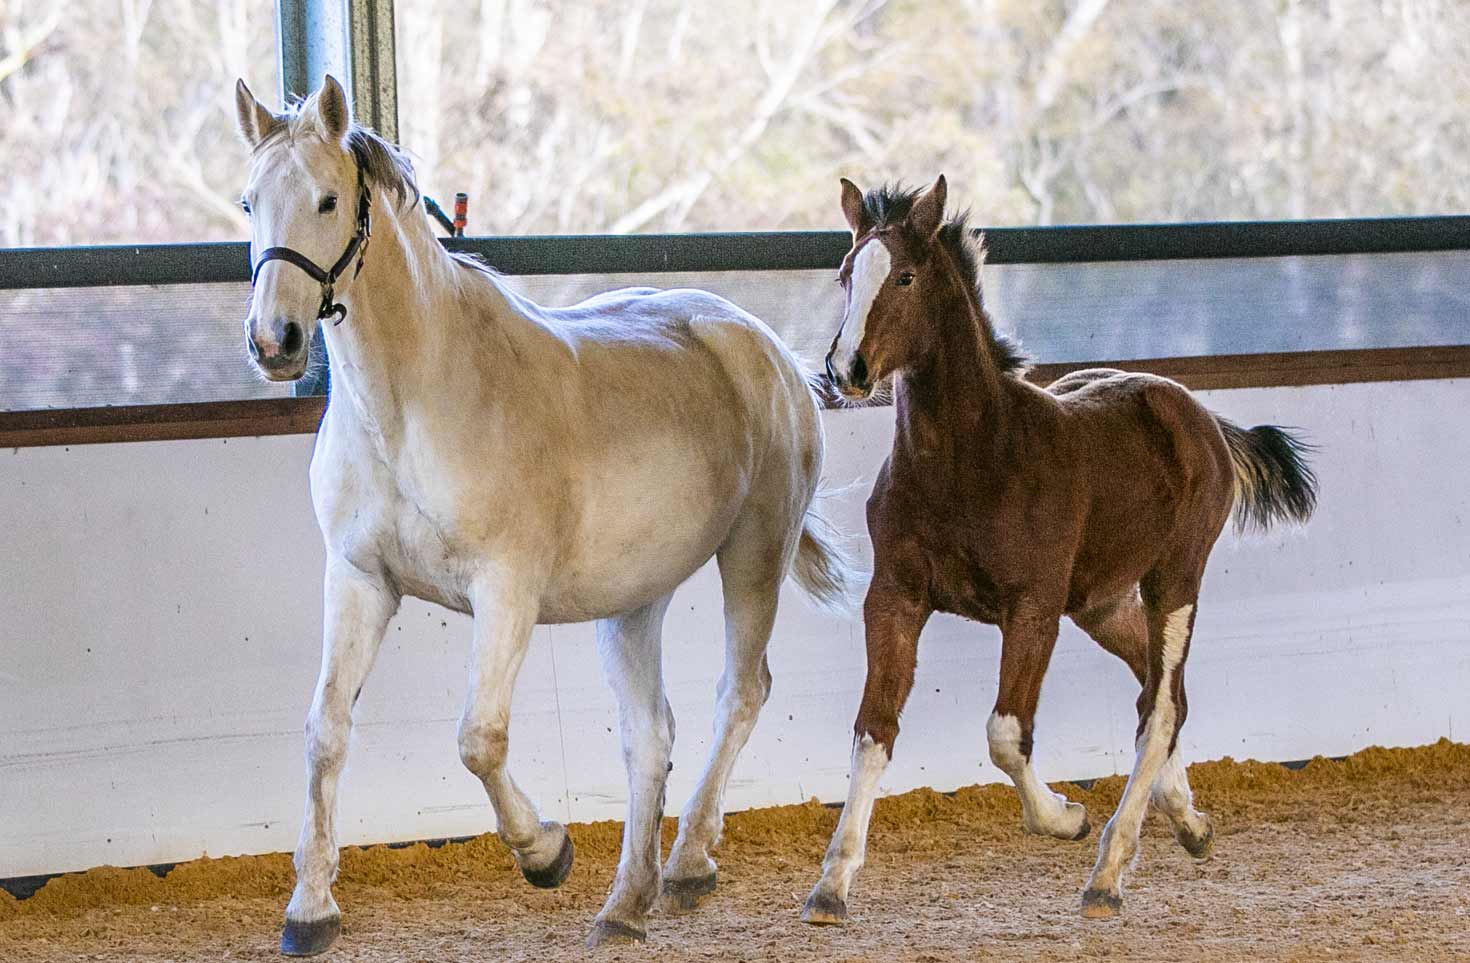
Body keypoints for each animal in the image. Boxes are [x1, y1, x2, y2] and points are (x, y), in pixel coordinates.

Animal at [235, 77, 858, 958]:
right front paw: (310, 909)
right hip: (634, 601)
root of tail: (769, 351)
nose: (274, 341)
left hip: (754, 554)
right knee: (650, 734)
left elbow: (478, 738)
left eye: (326, 199)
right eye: (249, 200)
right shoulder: (360, 580)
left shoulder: (505, 591)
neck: (410, 404)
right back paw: (626, 901)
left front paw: (545, 853)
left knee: (740, 692)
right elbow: (325, 730)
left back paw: (687, 863)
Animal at [805, 174, 1323, 929]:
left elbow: (1004, 733)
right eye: (846, 274)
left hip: (1175, 579)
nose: (847, 369)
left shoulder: (1034, 607)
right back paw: (1189, 822)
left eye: (904, 276)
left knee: (1159, 707)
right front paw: (831, 886)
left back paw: (1107, 871)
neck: (969, 462)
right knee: (1158, 689)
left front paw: (1065, 818)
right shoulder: (895, 597)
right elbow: (874, 730)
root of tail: (1199, 414)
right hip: (1102, 603)